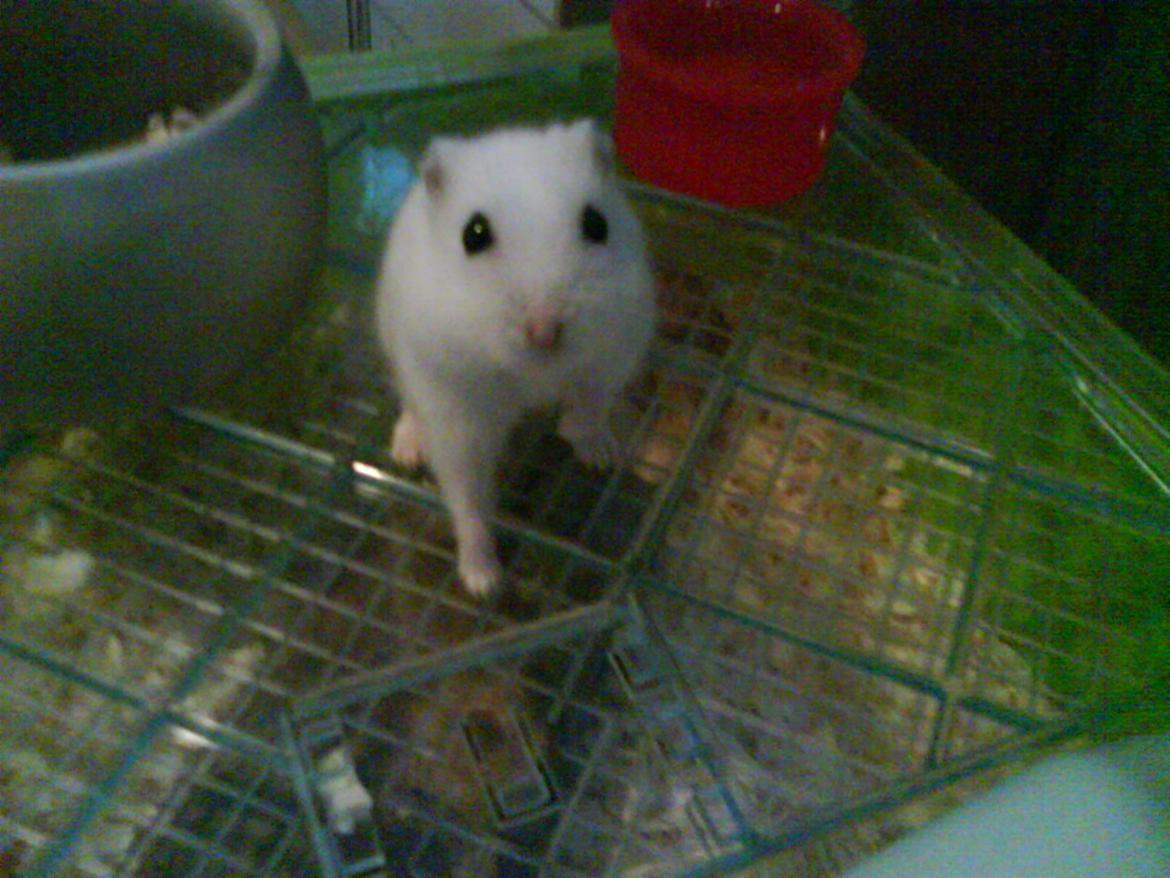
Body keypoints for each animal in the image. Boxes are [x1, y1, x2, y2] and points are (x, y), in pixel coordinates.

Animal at [375, 119, 656, 596]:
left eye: (597, 223)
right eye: (474, 234)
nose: (544, 333)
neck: (533, 376)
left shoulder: (612, 355)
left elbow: (590, 407)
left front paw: (586, 444)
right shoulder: (456, 412)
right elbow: (467, 497)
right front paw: (484, 581)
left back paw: (600, 455)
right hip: (397, 353)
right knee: (410, 408)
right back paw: (408, 451)